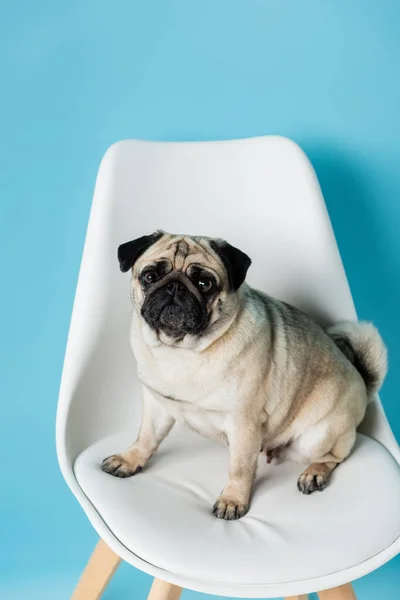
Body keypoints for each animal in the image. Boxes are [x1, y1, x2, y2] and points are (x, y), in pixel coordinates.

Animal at [101, 232, 386, 516]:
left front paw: (232, 500)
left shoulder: (243, 423)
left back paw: (314, 473)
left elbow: (239, 468)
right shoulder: (156, 405)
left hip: (318, 436)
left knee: (334, 456)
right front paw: (130, 459)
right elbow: (146, 437)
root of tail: (362, 383)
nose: (175, 288)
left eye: (205, 283)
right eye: (150, 276)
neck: (182, 351)